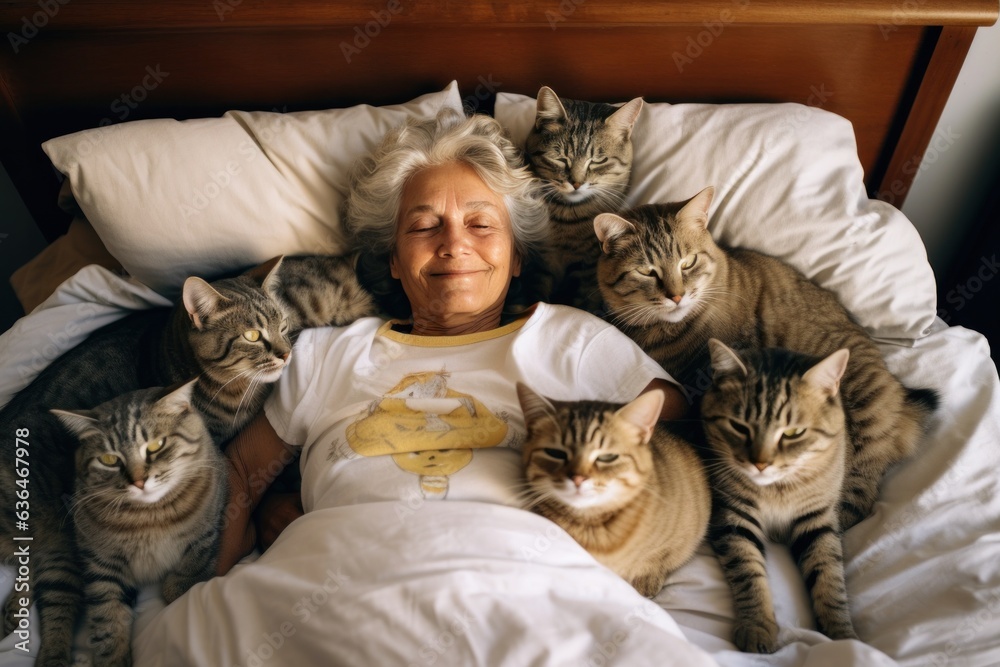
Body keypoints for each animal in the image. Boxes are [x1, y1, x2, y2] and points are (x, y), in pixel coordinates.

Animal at [51, 380, 227, 667]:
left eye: (156, 445)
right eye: (109, 460)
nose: (138, 482)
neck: (149, 517)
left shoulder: (210, 523)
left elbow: (196, 558)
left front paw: (179, 585)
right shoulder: (100, 564)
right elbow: (107, 617)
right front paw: (114, 657)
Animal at [516, 384, 712, 596]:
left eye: (607, 457)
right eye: (555, 453)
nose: (578, 478)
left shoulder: (680, 536)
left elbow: (657, 558)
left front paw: (646, 579)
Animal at [520, 85, 644, 314]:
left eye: (598, 161)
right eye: (560, 158)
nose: (576, 183)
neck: (566, 216)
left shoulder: (585, 268)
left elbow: (580, 304)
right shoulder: (539, 262)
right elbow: (534, 296)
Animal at [592, 189, 936, 532]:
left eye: (687, 262)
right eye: (647, 271)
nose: (676, 297)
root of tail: (900, 397)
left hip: (865, 412)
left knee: (859, 491)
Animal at [700, 342, 856, 656]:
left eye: (794, 432)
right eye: (739, 426)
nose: (760, 463)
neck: (777, 490)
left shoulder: (817, 520)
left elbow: (829, 576)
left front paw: (843, 637)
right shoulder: (734, 517)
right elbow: (748, 571)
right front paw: (757, 625)